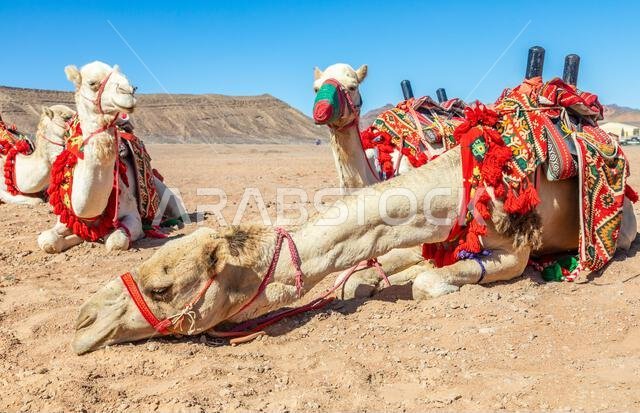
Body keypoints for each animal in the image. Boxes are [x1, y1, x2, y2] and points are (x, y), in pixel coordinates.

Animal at [38, 61, 183, 253]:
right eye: (92, 83)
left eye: (133, 85)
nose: (128, 91)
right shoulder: (65, 217)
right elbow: (47, 240)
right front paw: (74, 237)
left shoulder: (132, 215)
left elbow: (116, 240)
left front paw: (105, 234)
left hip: (168, 196)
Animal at [72, 136, 638, 353]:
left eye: (163, 288)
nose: (82, 322)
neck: (457, 181)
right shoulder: (423, 236)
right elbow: (378, 267)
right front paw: (366, 280)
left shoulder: (514, 252)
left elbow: (435, 281)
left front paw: (424, 281)